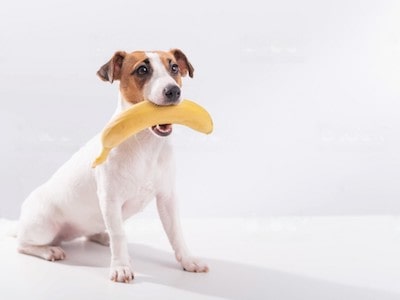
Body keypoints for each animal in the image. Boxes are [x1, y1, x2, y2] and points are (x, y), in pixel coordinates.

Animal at [16, 48, 209, 282]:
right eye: (142, 70)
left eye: (174, 68)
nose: (173, 91)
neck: (145, 144)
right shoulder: (110, 199)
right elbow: (119, 235)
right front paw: (121, 267)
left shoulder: (167, 198)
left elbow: (176, 233)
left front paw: (188, 260)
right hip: (42, 227)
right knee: (23, 244)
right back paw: (48, 250)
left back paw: (100, 235)